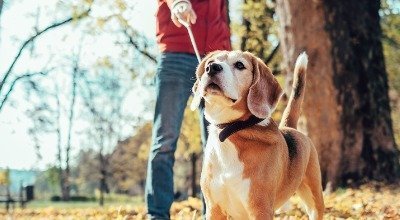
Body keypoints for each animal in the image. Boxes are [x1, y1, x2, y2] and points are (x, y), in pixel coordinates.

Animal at [191, 51, 324, 220]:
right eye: (210, 62)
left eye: (240, 65)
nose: (212, 68)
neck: (230, 130)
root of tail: (288, 127)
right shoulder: (214, 209)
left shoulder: (260, 209)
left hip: (315, 200)